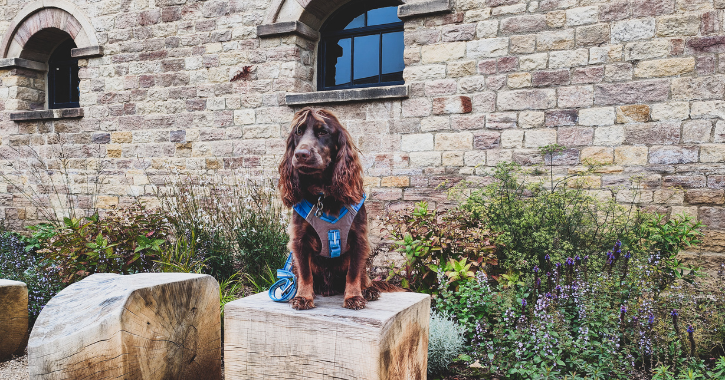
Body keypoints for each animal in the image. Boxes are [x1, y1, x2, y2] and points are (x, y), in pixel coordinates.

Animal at [278, 106, 402, 308]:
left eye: (323, 132)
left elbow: (353, 273)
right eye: (298, 132)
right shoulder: (299, 240)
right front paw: (303, 297)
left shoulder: (359, 239)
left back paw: (368, 290)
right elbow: (305, 274)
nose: (301, 154)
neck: (323, 195)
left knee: (362, 275)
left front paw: (353, 297)